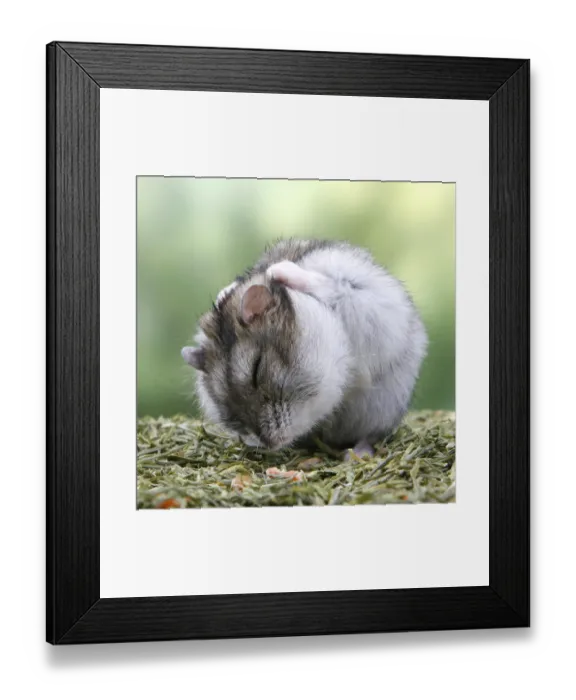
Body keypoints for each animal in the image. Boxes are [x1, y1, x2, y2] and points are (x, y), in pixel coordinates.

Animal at [181, 239, 428, 455]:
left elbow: (328, 284)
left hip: (385, 410)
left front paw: (276, 270)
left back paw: (357, 454)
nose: (269, 444)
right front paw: (226, 292)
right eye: (220, 400)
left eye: (257, 369)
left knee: (373, 435)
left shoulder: (362, 294)